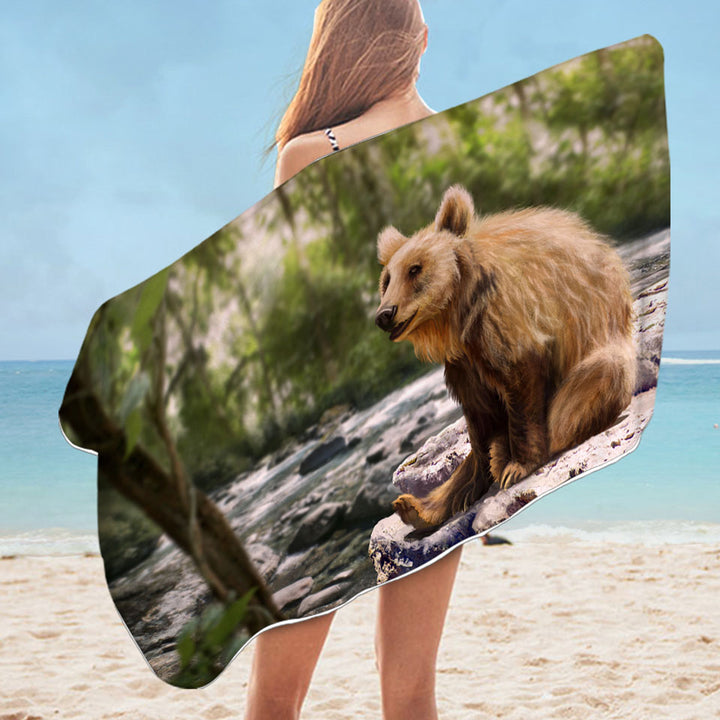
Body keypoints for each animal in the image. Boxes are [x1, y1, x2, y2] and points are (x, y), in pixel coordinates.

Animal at [375, 184, 636, 530]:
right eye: (386, 280)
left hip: (601, 349)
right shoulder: (463, 361)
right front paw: (437, 501)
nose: (384, 314)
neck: (457, 312)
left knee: (587, 389)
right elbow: (478, 417)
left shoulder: (507, 319)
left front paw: (518, 466)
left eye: (415, 269)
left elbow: (521, 380)